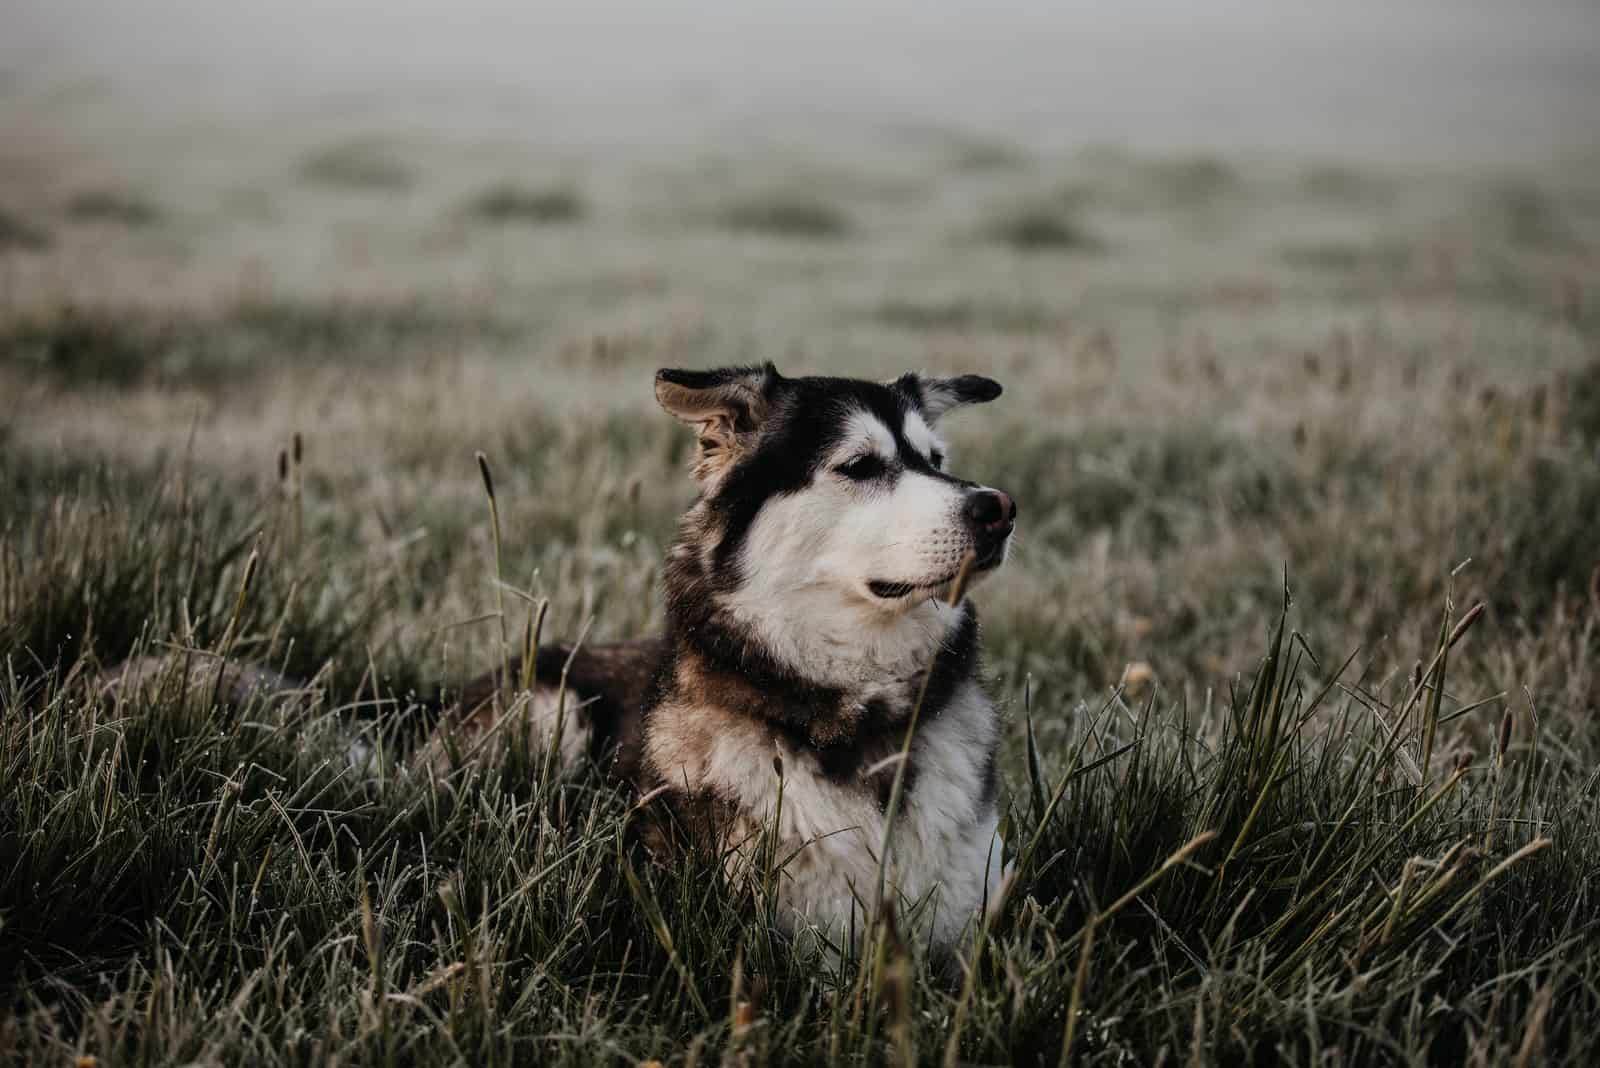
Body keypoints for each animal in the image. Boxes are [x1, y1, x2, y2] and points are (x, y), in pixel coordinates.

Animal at [100, 364, 1017, 959]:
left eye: (936, 461)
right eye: (860, 466)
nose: (997, 507)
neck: (860, 721)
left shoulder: (968, 936)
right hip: (549, 710)